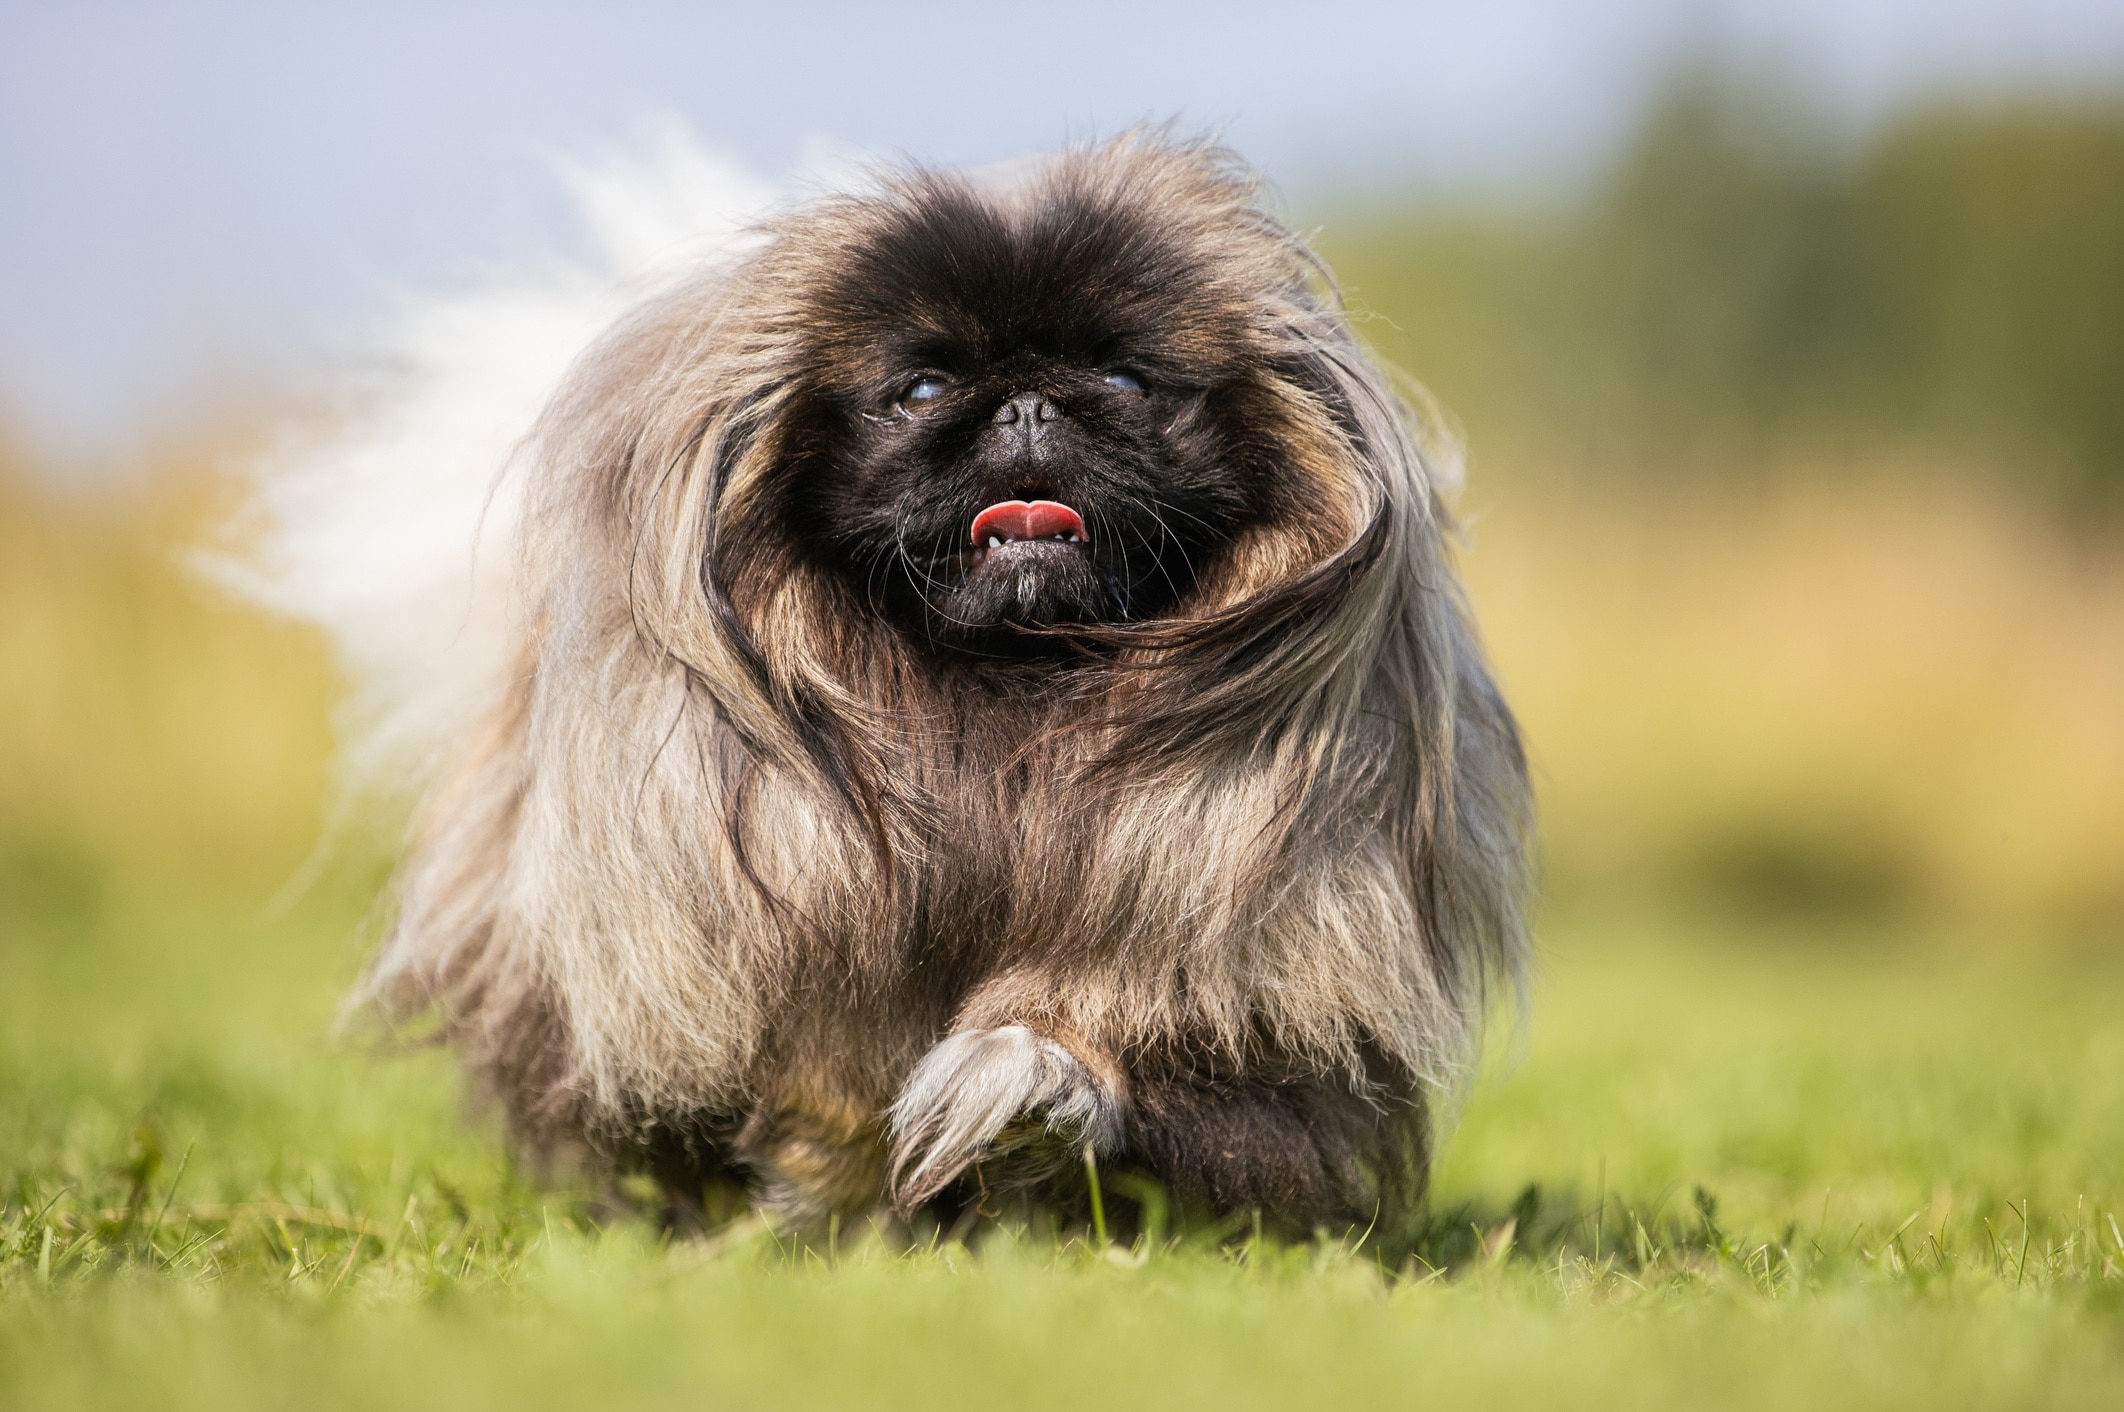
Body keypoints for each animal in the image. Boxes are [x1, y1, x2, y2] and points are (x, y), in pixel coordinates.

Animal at [241, 129, 1537, 1231]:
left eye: (1125, 379)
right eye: (919, 390)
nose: (1027, 402)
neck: (1008, 691)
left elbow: (1089, 1019)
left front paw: (1028, 1080)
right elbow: (831, 1069)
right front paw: (842, 1199)